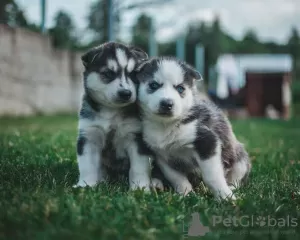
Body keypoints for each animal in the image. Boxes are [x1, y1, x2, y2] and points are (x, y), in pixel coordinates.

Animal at [73, 42, 155, 190]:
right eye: (108, 74)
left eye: (132, 74)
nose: (126, 93)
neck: (111, 111)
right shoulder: (89, 135)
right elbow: (87, 165)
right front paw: (85, 185)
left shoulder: (135, 137)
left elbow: (138, 167)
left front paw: (139, 188)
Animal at [134, 57, 251, 200]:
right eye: (154, 85)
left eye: (180, 88)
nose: (167, 104)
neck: (166, 125)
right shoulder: (162, 156)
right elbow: (176, 177)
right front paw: (185, 194)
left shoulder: (207, 142)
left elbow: (212, 176)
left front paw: (225, 196)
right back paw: (157, 184)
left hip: (240, 159)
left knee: (237, 177)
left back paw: (231, 188)